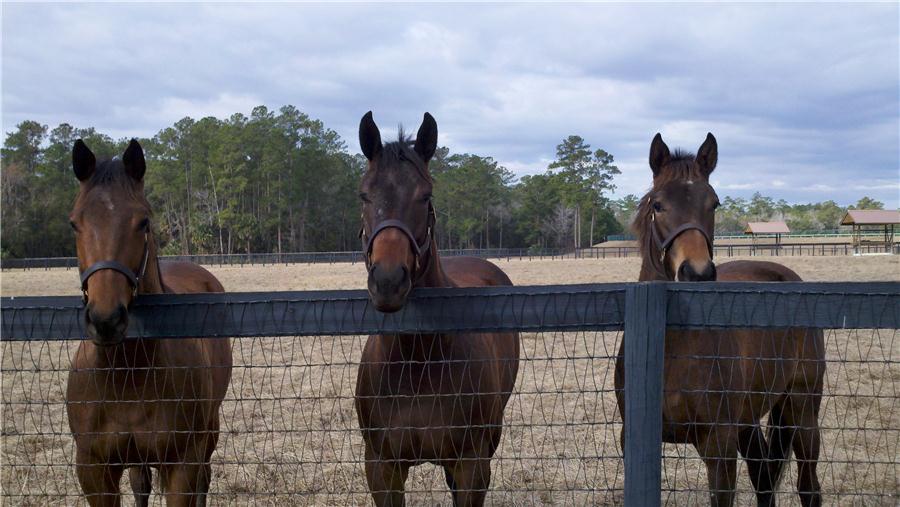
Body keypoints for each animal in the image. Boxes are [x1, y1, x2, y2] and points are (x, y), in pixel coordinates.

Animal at [66, 140, 232, 507]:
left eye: (143, 222)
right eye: (74, 223)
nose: (107, 320)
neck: (127, 374)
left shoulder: (181, 463)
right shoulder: (93, 470)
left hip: (208, 432)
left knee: (205, 477)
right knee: (141, 483)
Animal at [354, 113, 520, 506]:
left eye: (425, 195)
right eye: (364, 194)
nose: (388, 281)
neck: (417, 360)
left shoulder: (471, 465)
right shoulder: (381, 468)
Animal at [612, 133, 824, 506]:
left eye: (714, 203)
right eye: (658, 205)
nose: (696, 273)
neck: (673, 348)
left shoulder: (718, 447)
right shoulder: (636, 441)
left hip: (801, 412)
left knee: (808, 486)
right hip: (751, 420)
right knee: (763, 478)